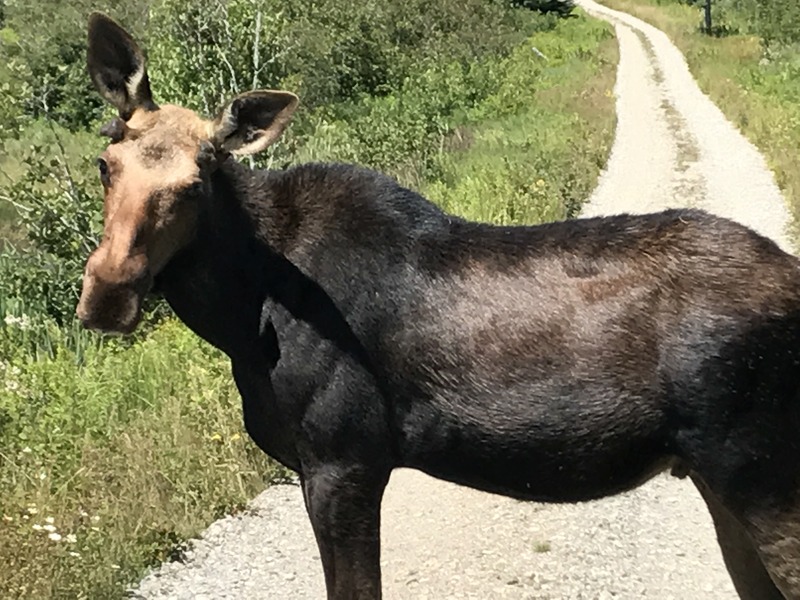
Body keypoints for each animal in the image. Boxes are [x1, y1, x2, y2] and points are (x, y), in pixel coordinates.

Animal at [79, 11, 800, 596]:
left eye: (197, 180)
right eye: (105, 162)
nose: (108, 291)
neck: (242, 316)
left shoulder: (345, 460)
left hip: (761, 474)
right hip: (718, 479)